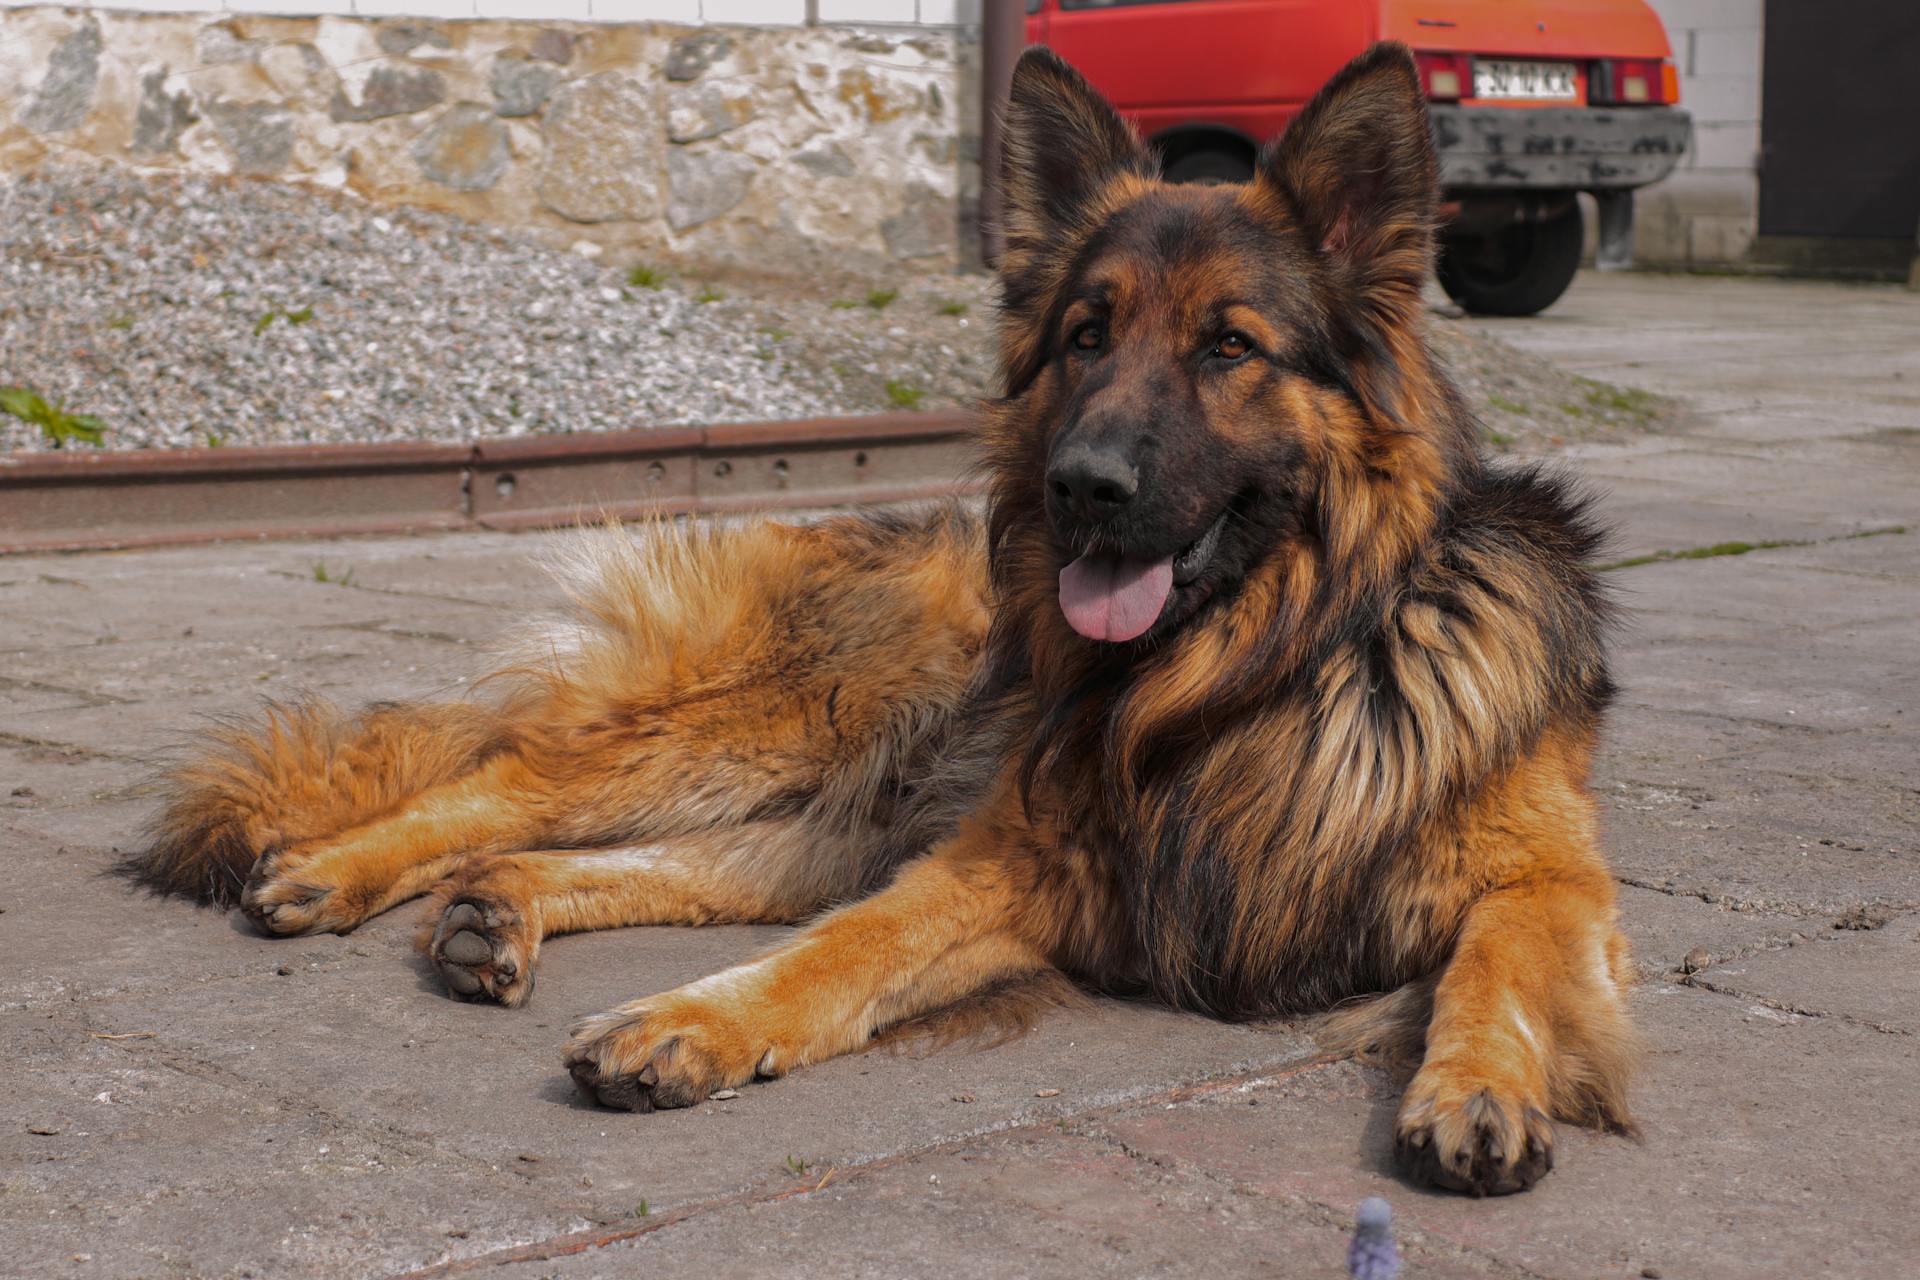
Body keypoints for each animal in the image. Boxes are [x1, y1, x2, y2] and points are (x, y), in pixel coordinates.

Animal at [131, 45, 1635, 1197]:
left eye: (1229, 347)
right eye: (1086, 336)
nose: (1083, 487)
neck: (1244, 675)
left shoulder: (1548, 875)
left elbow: (1499, 959)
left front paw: (1482, 1088)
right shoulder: (1009, 856)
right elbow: (844, 952)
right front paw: (694, 1020)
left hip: (830, 799)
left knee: (633, 858)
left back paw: (494, 916)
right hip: (794, 720)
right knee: (504, 789)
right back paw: (344, 870)